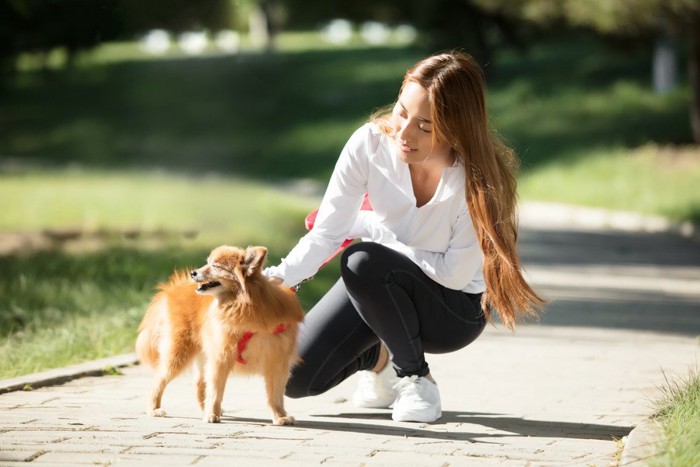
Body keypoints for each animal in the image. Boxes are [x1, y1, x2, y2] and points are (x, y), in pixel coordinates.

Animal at [135, 247, 302, 426]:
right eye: (207, 263)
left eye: (215, 266)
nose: (193, 273)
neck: (242, 306)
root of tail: (174, 288)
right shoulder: (221, 356)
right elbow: (216, 391)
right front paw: (211, 414)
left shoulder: (277, 362)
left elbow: (275, 395)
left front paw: (280, 416)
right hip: (179, 353)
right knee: (159, 379)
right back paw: (154, 408)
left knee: (199, 384)